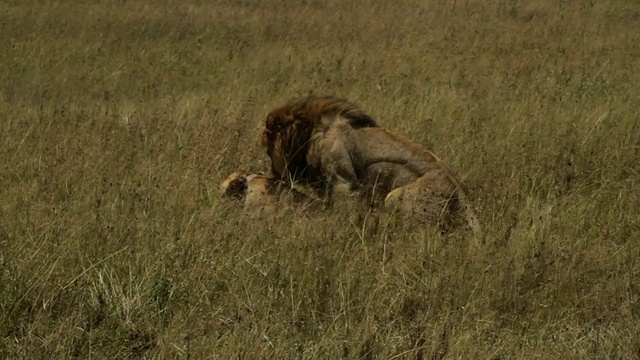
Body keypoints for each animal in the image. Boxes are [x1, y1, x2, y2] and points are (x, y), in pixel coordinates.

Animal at [260, 95, 480, 236]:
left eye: (268, 151)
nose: (273, 171)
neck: (309, 133)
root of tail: (462, 196)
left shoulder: (342, 182)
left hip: (398, 197)